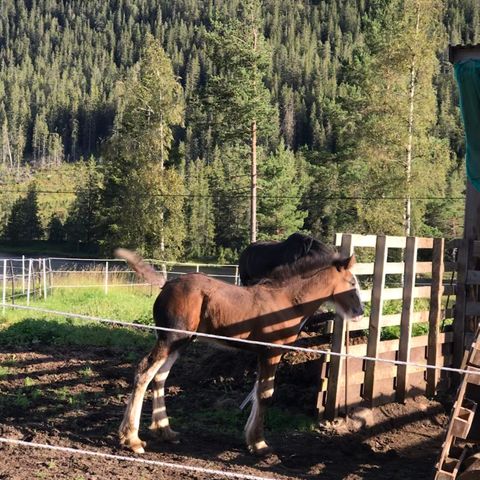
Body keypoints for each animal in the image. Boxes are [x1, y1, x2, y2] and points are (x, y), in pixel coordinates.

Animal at [115, 246, 364, 456]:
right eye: (352, 283)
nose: (359, 311)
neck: (286, 301)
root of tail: (166, 284)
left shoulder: (263, 353)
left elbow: (257, 392)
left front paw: (250, 439)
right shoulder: (271, 352)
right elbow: (265, 394)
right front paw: (260, 444)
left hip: (181, 342)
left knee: (159, 377)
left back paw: (165, 431)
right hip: (170, 338)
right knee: (144, 371)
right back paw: (132, 439)